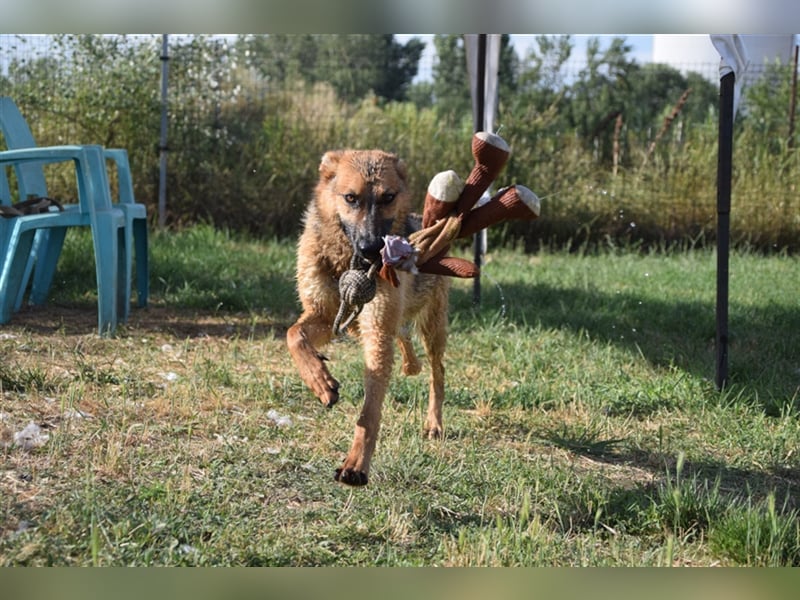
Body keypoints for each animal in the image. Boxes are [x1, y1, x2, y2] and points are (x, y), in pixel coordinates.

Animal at [288, 150, 450, 488]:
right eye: (351, 198)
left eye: (388, 197)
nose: (372, 249)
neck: (343, 263)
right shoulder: (324, 315)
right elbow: (294, 335)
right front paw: (320, 381)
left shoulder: (375, 332)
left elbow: (370, 411)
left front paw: (356, 465)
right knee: (404, 340)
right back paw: (410, 365)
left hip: (432, 327)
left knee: (436, 372)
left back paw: (433, 422)